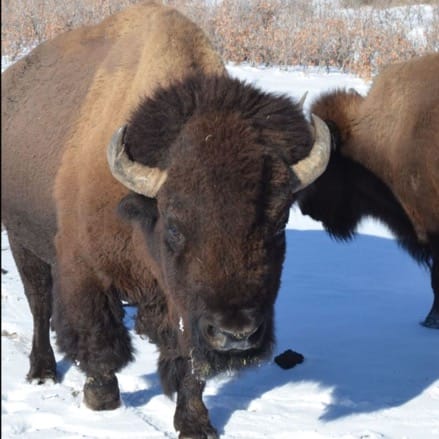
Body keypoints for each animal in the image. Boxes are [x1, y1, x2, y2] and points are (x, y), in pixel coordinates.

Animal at [0, 1, 330, 438]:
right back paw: (42, 371)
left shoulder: (183, 303)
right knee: (39, 304)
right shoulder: (84, 270)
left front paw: (195, 422)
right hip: (22, 240)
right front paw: (102, 399)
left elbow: (187, 359)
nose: (236, 334)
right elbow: (98, 337)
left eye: (279, 224)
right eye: (174, 224)